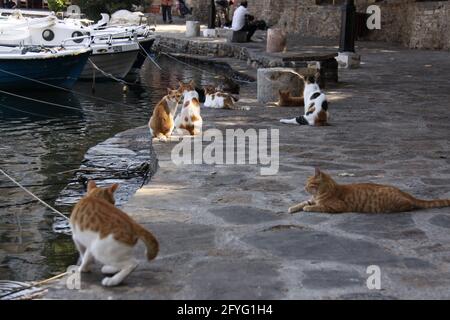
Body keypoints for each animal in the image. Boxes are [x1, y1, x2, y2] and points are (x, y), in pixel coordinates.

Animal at [288, 169, 450, 214]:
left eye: (309, 184)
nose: (304, 187)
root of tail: (404, 192)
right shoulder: (312, 199)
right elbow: (302, 202)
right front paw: (292, 207)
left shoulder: (337, 206)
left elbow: (318, 207)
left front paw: (308, 208)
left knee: (410, 205)